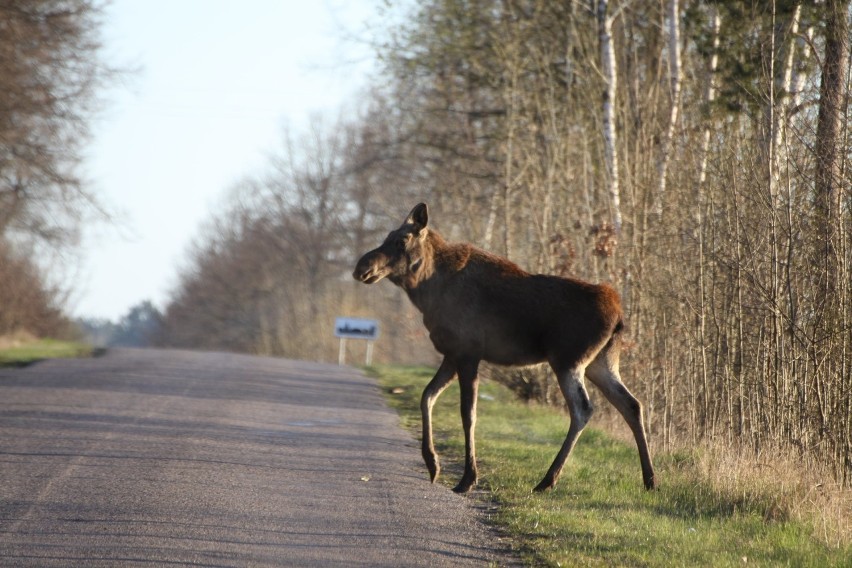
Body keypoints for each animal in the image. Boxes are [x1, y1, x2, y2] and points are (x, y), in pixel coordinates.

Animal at [350, 204, 656, 492]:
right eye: (387, 236)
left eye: (401, 240)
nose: (360, 267)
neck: (427, 292)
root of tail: (619, 316)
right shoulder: (452, 353)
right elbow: (427, 396)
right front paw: (432, 464)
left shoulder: (468, 352)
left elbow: (468, 414)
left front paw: (468, 478)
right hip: (601, 362)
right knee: (632, 404)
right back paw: (650, 479)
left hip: (569, 360)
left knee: (583, 409)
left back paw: (547, 480)